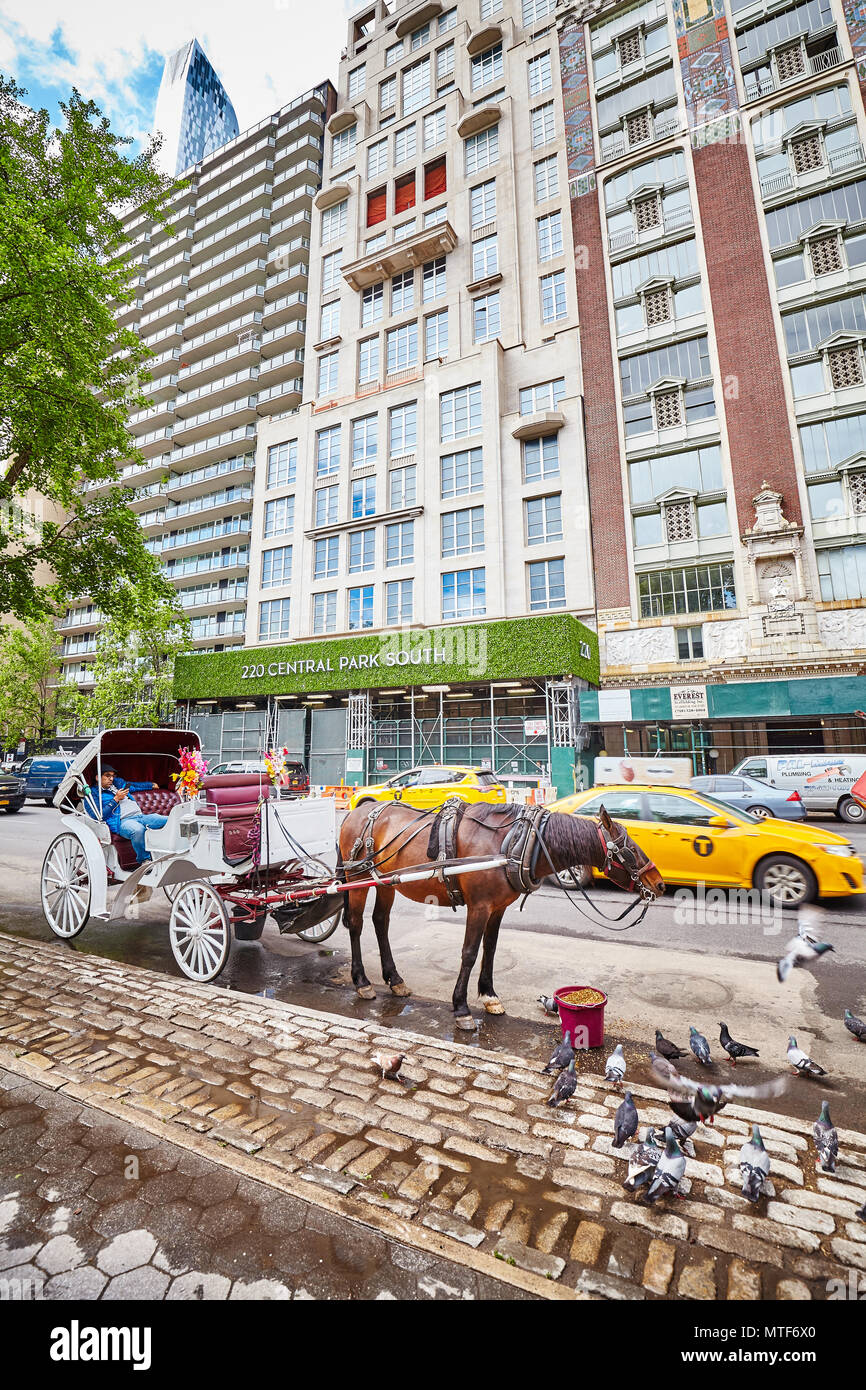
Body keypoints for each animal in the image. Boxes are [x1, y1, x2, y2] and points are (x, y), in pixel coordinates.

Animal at [337, 806, 664, 1034]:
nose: (660, 884)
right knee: (356, 924)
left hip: (384, 883)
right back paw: (362, 981)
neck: (514, 844)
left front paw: (489, 995)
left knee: (381, 922)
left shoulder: (497, 908)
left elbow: (490, 949)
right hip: (357, 879)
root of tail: (357, 811)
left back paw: (395, 979)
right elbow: (469, 953)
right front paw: (462, 1008)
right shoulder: (479, 906)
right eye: (630, 849)